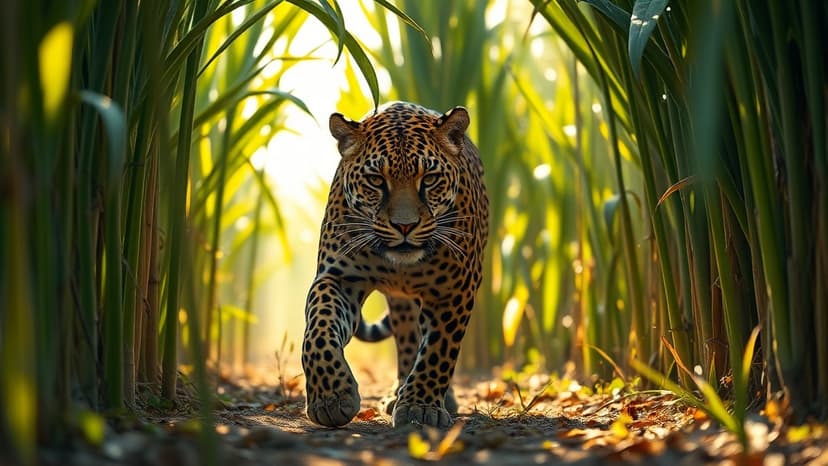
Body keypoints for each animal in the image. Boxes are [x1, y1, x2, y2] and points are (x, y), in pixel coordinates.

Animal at [301, 101, 489, 428]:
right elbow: (318, 330)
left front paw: (421, 408)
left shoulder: (455, 290)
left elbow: (438, 351)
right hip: (401, 303)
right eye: (376, 180)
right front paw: (331, 397)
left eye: (429, 178)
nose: (405, 226)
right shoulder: (338, 277)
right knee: (408, 338)